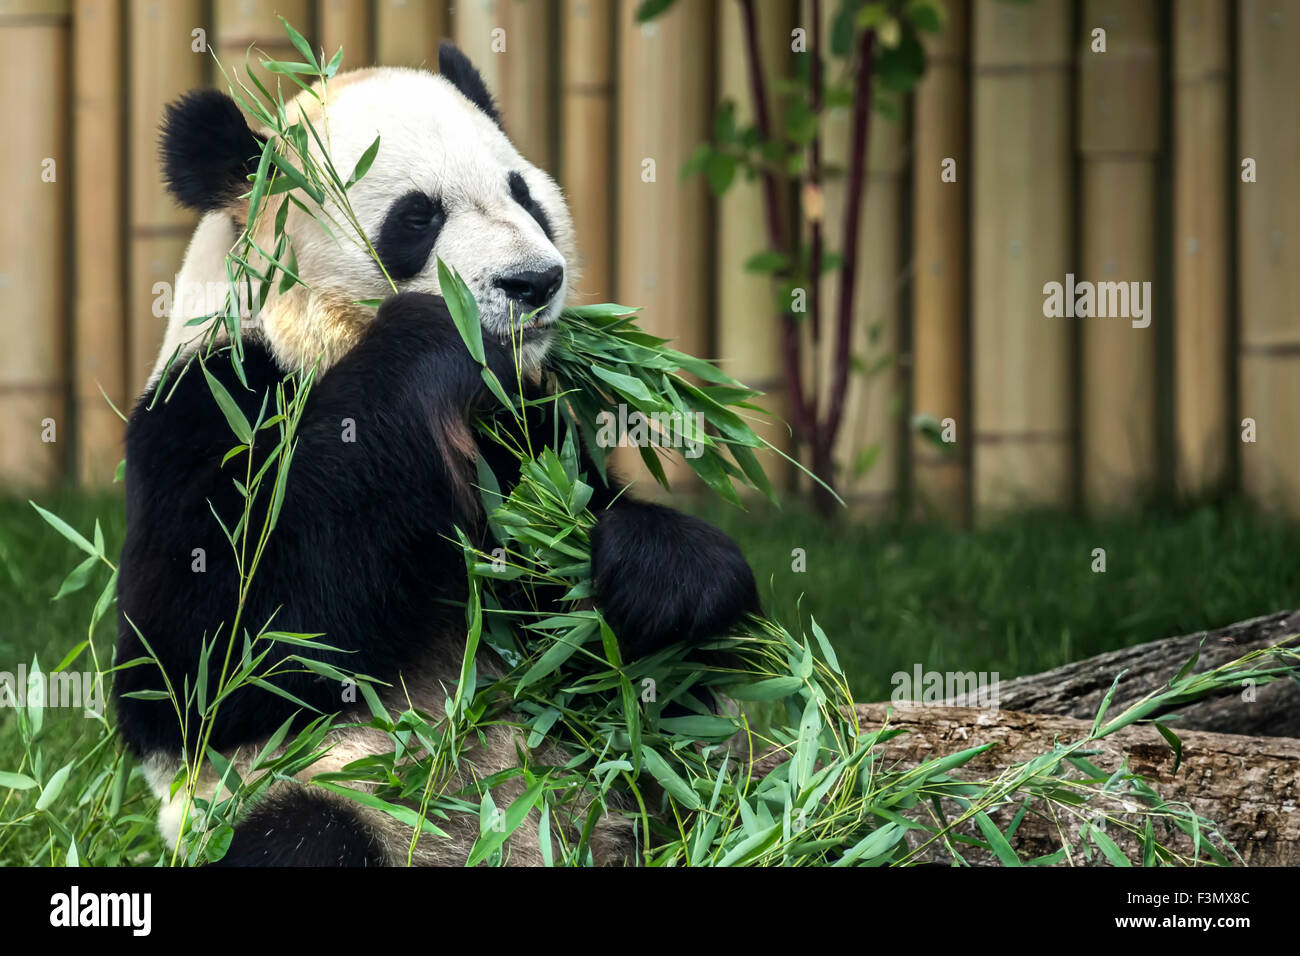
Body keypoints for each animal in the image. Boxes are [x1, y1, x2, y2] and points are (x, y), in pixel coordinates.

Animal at [113, 42, 760, 866]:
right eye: (417, 216)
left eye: (524, 194)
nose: (533, 282)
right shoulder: (211, 400)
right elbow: (203, 658)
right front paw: (437, 329)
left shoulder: (525, 427)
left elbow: (586, 597)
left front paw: (660, 570)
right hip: (344, 796)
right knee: (307, 834)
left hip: (634, 777)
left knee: (711, 782)